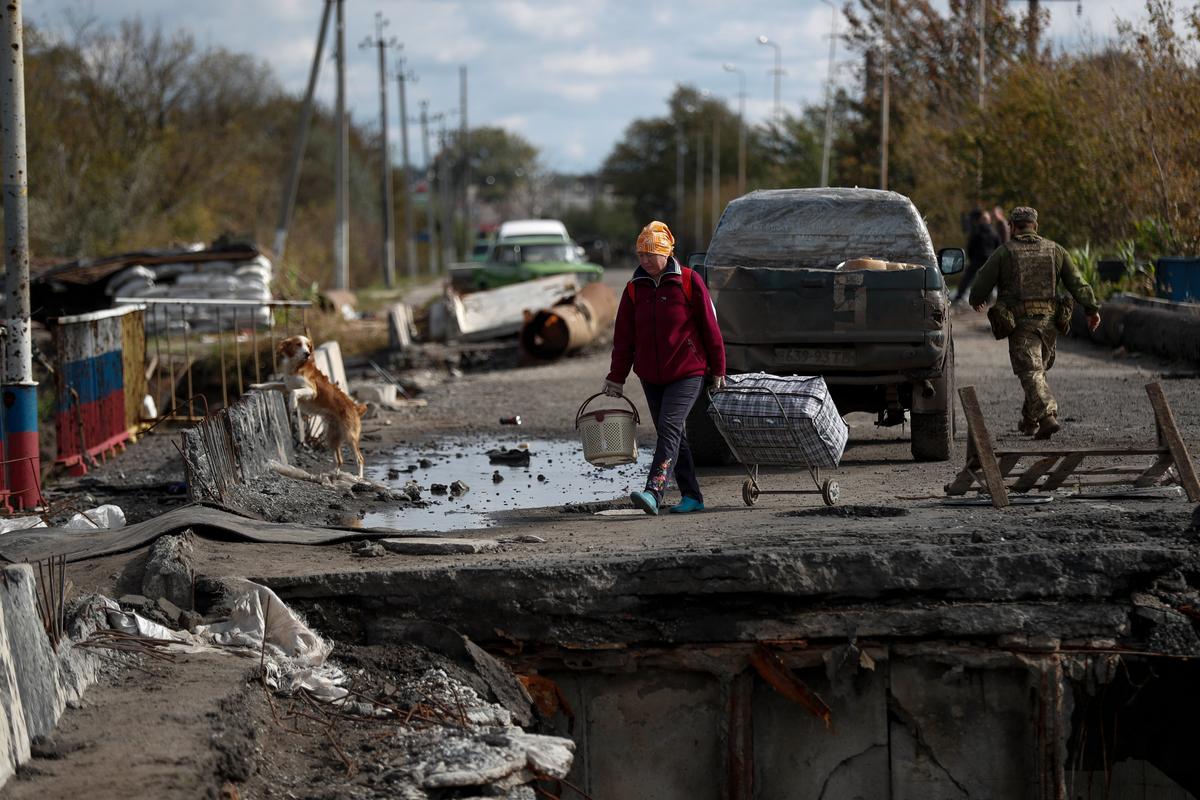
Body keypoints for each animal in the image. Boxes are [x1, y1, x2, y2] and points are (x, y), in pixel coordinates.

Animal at [252, 335, 364, 479]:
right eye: (298, 344)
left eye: (308, 346)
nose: (307, 353)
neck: (296, 366)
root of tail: (355, 407)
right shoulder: (286, 387)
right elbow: (272, 384)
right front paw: (257, 386)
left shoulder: (311, 391)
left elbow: (295, 392)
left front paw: (292, 404)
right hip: (331, 437)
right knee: (339, 459)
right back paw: (334, 474)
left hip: (350, 436)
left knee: (360, 458)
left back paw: (359, 477)